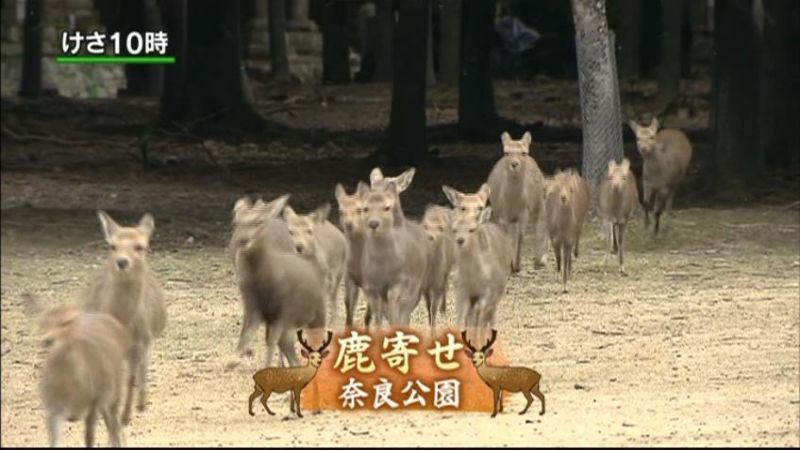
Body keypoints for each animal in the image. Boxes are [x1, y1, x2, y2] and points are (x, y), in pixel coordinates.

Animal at [23, 294, 130, 448]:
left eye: (67, 322)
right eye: (42, 322)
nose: (48, 340)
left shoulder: (93, 403)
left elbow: (89, 439)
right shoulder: (51, 409)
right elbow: (54, 442)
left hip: (116, 388)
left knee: (115, 424)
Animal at [82, 211, 166, 426]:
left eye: (140, 246)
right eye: (112, 245)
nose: (121, 262)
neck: (125, 322)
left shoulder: (141, 342)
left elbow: (131, 379)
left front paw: (126, 416)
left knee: (140, 370)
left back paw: (141, 404)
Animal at [488, 130, 552, 270]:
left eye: (524, 152)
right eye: (506, 152)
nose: (514, 164)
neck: (513, 201)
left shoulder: (524, 212)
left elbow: (521, 236)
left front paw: (517, 265)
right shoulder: (503, 214)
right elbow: (507, 237)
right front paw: (510, 264)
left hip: (540, 207)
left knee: (541, 228)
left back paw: (540, 260)